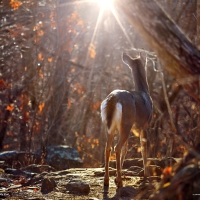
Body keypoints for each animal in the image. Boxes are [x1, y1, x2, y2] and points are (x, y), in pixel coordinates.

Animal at [101, 53, 152, 188]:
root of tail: (113, 98)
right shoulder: (145, 124)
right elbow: (143, 147)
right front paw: (146, 174)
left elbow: (126, 148)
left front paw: (117, 174)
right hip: (126, 122)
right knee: (117, 147)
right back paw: (119, 182)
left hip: (110, 125)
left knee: (108, 148)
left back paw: (107, 180)